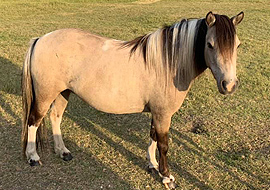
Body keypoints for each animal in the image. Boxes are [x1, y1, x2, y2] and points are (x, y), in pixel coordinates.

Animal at [21, 11, 245, 189]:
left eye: (237, 45)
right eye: (210, 44)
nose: (229, 85)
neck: (168, 64)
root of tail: (41, 39)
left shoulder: (157, 113)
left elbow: (153, 137)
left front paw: (152, 165)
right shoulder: (163, 115)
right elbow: (164, 145)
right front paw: (167, 177)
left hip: (63, 92)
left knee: (55, 117)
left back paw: (63, 151)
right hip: (46, 94)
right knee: (34, 120)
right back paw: (33, 157)